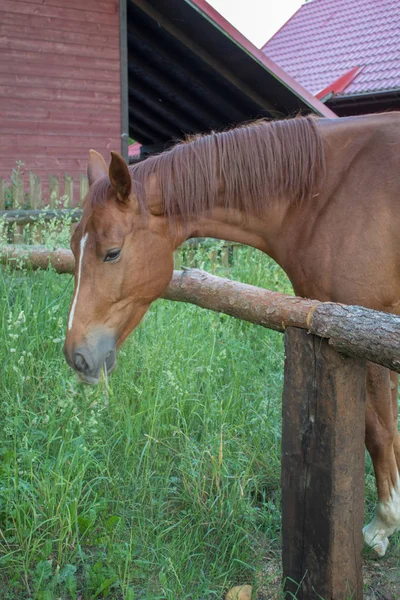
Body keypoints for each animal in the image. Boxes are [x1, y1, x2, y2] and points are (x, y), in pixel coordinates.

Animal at [64, 113, 400, 556]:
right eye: (73, 247)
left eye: (113, 253)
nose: (76, 355)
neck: (326, 194)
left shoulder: (364, 329)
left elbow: (379, 430)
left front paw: (383, 524)